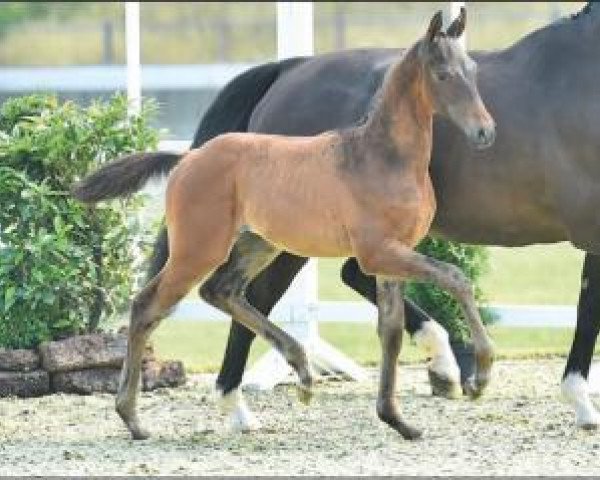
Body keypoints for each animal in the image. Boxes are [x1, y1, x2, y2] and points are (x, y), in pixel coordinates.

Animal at [74, 9, 496, 440]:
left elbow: (390, 332)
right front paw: (479, 376)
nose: (485, 131)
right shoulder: (379, 252)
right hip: (198, 250)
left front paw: (397, 420)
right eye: (442, 74)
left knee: (221, 292)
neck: (381, 156)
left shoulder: (391, 257)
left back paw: (303, 371)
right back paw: (133, 418)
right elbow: (456, 277)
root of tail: (187, 157)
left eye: (472, 70)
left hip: (259, 244)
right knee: (148, 306)